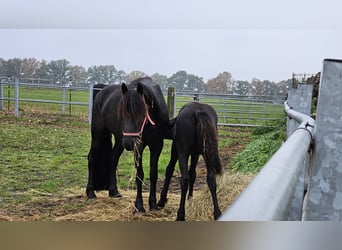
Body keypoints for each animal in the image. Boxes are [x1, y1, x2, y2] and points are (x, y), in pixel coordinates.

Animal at [85, 76, 171, 213]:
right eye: (122, 112)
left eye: (141, 113)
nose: (128, 142)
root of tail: (102, 91)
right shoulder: (138, 147)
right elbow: (139, 175)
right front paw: (139, 206)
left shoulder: (157, 145)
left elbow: (153, 174)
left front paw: (153, 204)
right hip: (99, 134)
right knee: (92, 158)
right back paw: (91, 193)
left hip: (119, 141)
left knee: (112, 159)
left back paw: (114, 192)